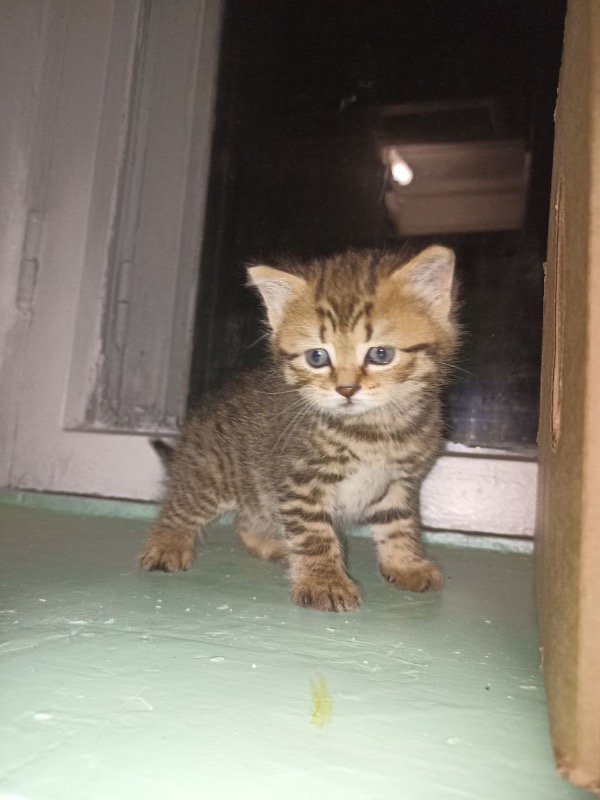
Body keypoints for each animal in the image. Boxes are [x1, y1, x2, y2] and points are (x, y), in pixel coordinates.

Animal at [140, 245, 458, 612]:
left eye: (381, 353)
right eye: (317, 358)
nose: (346, 389)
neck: (375, 429)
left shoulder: (399, 482)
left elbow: (398, 526)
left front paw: (405, 565)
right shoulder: (300, 479)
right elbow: (314, 534)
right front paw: (324, 582)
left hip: (256, 492)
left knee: (245, 520)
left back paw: (271, 544)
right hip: (209, 477)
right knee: (179, 506)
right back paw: (167, 544)